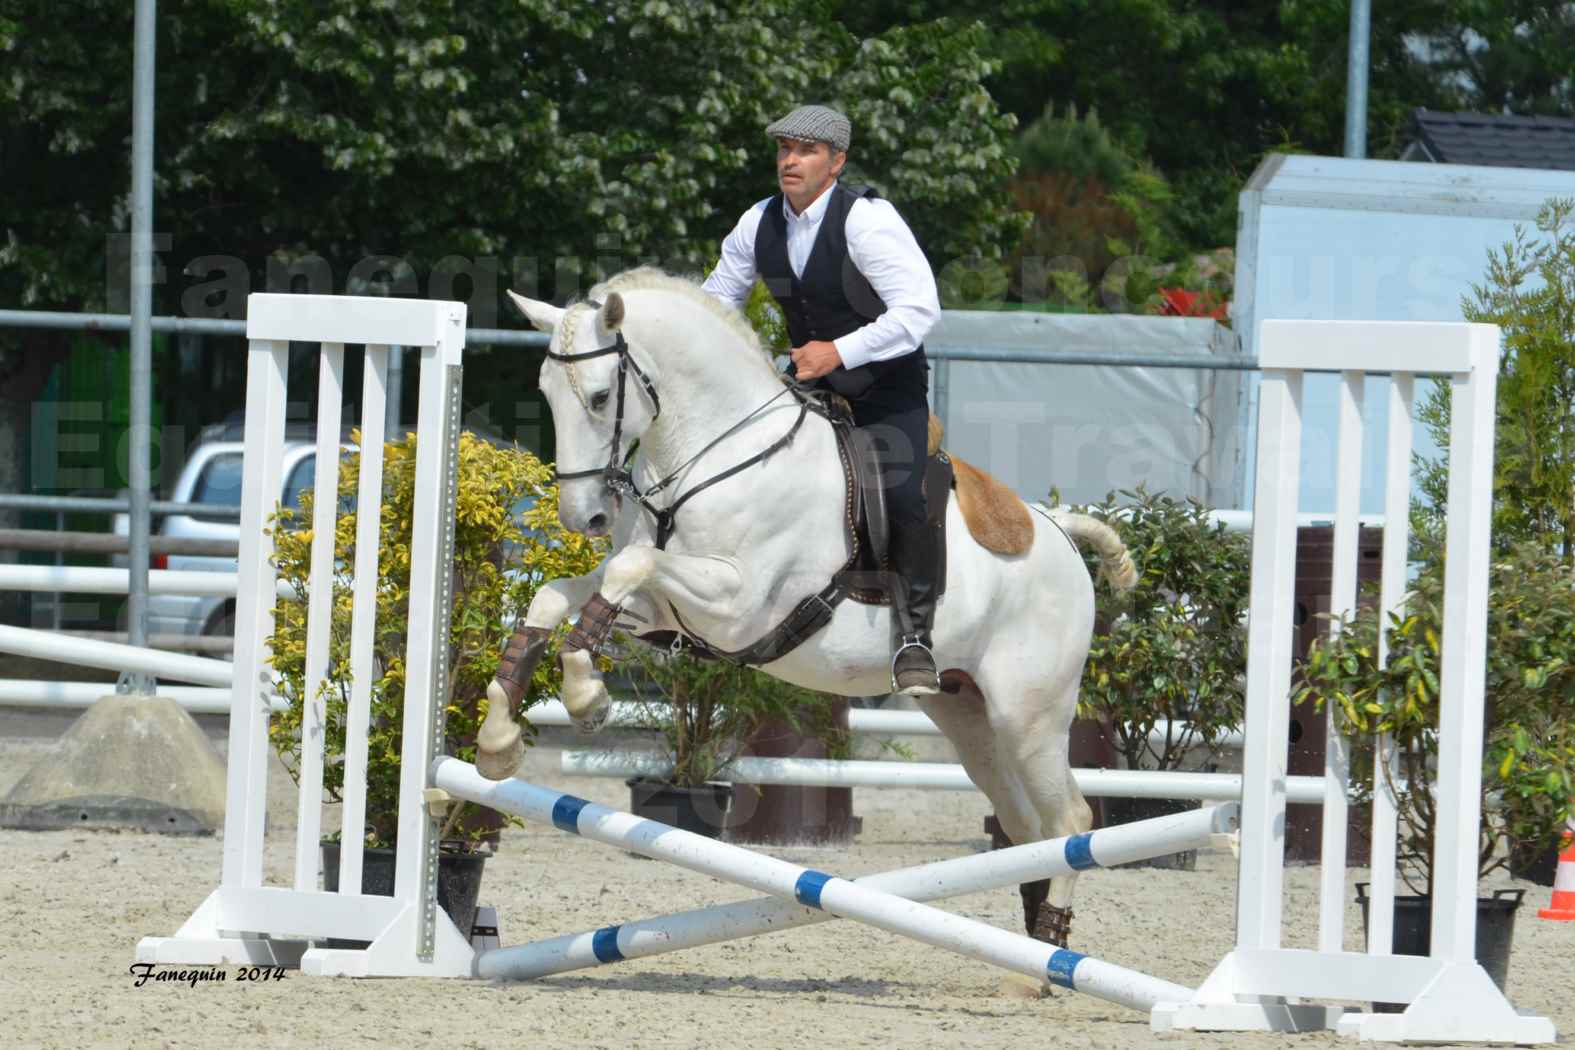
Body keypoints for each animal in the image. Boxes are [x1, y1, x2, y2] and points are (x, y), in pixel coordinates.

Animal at [475, 269, 1134, 944]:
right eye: (546, 393)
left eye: (602, 396)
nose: (584, 518)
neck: (712, 455)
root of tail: (1058, 531)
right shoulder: (660, 611)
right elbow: (561, 595)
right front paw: (499, 734)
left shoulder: (734, 604)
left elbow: (628, 568)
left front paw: (585, 695)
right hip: (969, 717)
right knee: (1026, 827)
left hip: (1028, 717)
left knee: (1069, 820)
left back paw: (1050, 940)